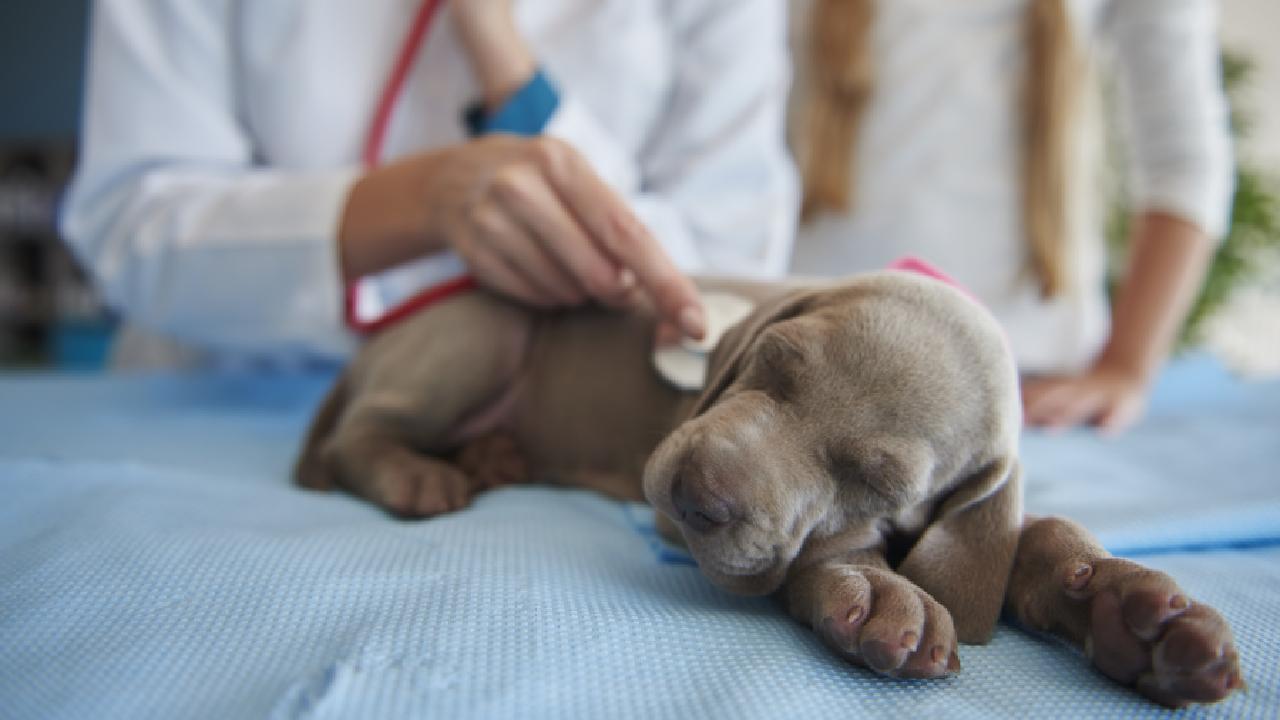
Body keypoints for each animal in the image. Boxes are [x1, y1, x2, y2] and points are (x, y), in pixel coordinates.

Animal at [296, 271, 1239, 702]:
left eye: (877, 478)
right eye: (774, 365)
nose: (697, 496)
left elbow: (1024, 534)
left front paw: (1132, 612)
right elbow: (823, 556)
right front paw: (875, 589)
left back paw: (491, 459)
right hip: (480, 334)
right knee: (358, 435)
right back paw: (421, 475)